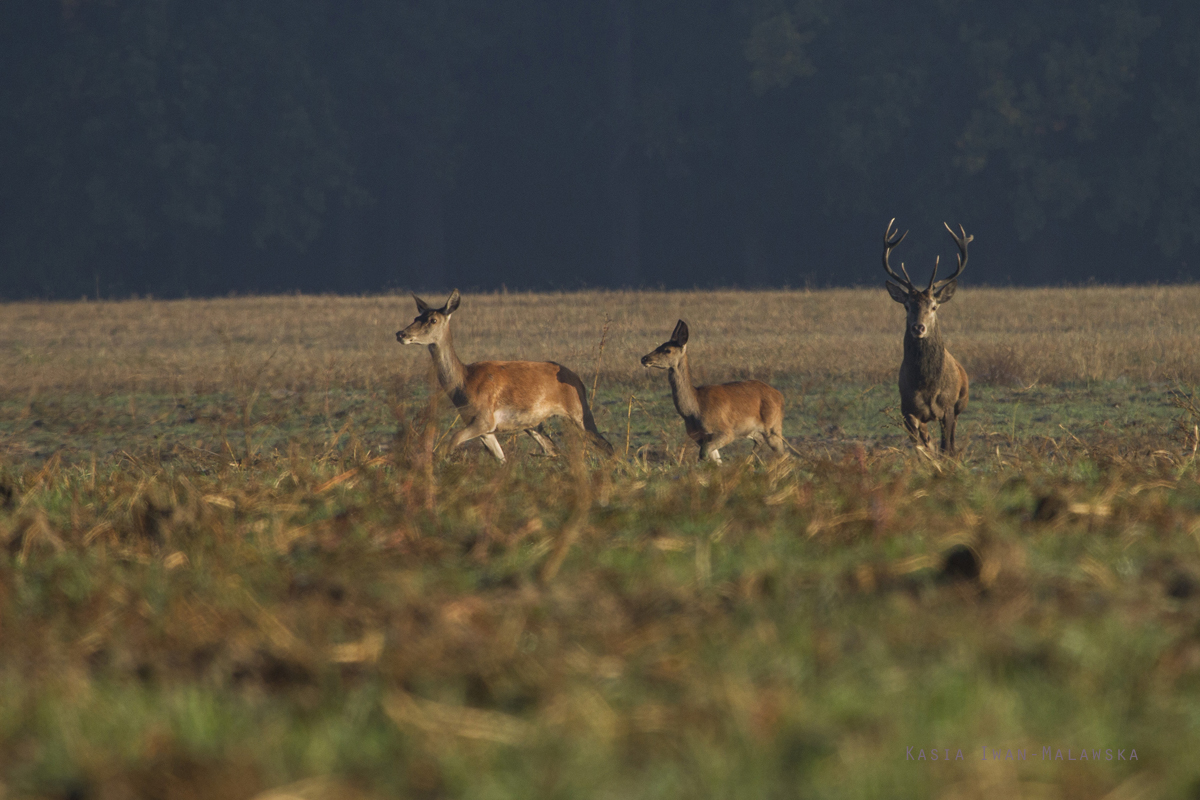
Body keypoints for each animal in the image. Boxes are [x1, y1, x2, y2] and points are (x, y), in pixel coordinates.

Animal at [396, 289, 614, 462]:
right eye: (416, 318)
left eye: (433, 320)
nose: (401, 334)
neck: (463, 385)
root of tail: (579, 380)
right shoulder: (484, 429)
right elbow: (501, 460)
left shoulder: (484, 418)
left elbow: (447, 444)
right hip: (533, 424)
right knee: (553, 449)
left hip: (578, 412)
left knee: (607, 445)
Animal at [638, 319, 787, 462]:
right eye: (659, 345)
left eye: (667, 350)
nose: (644, 358)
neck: (694, 410)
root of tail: (780, 396)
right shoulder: (700, 437)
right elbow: (714, 460)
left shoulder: (726, 431)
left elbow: (704, 455)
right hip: (752, 431)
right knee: (761, 443)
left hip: (773, 427)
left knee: (783, 454)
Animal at [883, 219, 974, 455]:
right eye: (907, 306)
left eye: (933, 306)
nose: (919, 327)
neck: (927, 387)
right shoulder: (908, 410)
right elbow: (921, 449)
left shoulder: (948, 408)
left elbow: (947, 449)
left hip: (961, 404)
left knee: (951, 445)